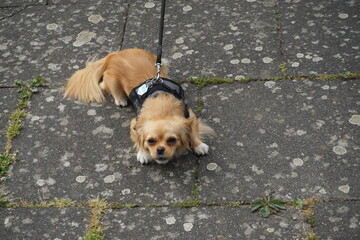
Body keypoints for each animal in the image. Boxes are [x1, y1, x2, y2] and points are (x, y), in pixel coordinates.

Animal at [64, 47, 212, 164]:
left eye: (172, 140)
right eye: (150, 141)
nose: (160, 149)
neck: (162, 108)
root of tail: (115, 54)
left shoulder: (190, 115)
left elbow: (193, 131)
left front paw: (198, 145)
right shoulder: (134, 123)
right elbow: (138, 138)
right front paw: (143, 153)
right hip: (112, 83)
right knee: (104, 85)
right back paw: (120, 100)